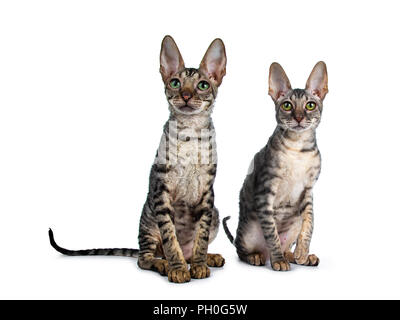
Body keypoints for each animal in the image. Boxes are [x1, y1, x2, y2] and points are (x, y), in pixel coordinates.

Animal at [48, 36, 227, 284]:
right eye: (175, 83)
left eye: (202, 85)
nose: (186, 95)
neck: (191, 134)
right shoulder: (161, 191)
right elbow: (171, 239)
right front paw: (178, 269)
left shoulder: (207, 194)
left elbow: (200, 239)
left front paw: (200, 265)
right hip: (149, 219)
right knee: (145, 258)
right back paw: (165, 264)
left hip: (215, 213)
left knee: (189, 251)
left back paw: (208, 258)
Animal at [223, 62, 326, 270]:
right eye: (287, 105)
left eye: (310, 105)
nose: (299, 118)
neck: (298, 149)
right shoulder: (265, 190)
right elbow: (271, 233)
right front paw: (278, 261)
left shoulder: (308, 189)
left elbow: (310, 222)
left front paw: (302, 251)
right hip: (247, 230)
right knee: (242, 250)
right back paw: (260, 257)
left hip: (294, 221)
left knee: (287, 244)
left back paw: (298, 256)